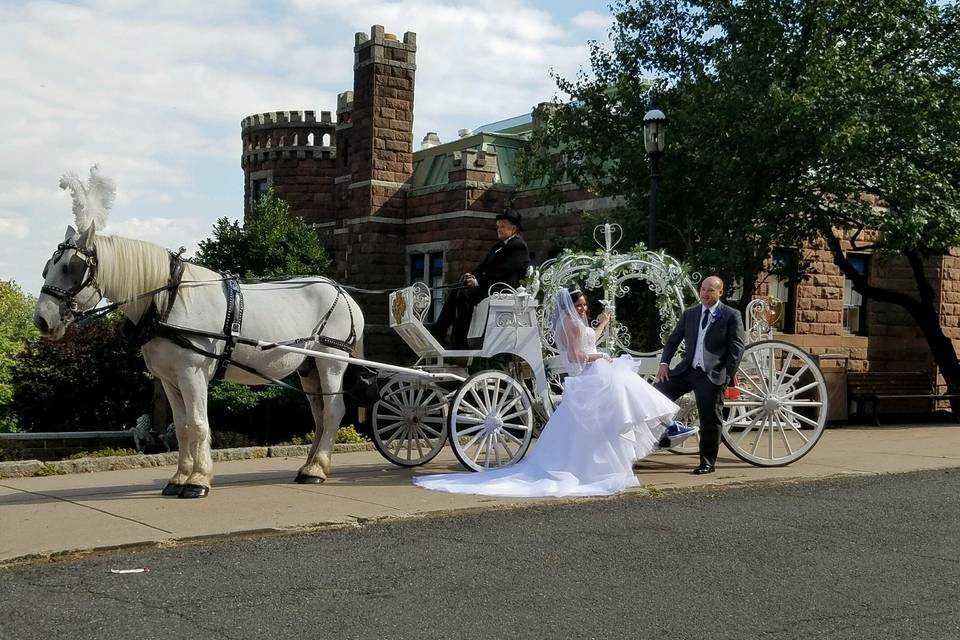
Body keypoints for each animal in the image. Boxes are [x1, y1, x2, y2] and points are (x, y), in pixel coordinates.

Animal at [33, 168, 364, 498]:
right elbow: (182, 427)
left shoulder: (192, 373)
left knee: (334, 410)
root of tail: (342, 292)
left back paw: (317, 469)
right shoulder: (169, 378)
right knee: (319, 413)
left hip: (331, 359)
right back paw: (309, 466)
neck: (168, 302)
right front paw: (179, 477)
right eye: (48, 266)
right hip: (308, 366)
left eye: (71, 267)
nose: (42, 319)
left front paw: (198, 480)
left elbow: (198, 424)